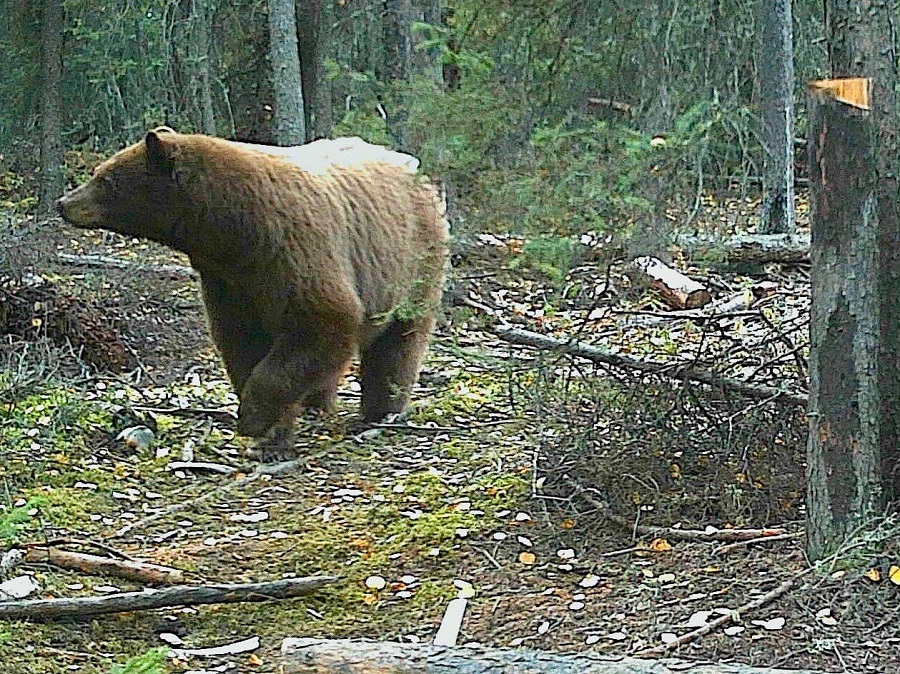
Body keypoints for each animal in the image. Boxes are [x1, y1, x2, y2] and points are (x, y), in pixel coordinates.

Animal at [58, 129, 448, 460]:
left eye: (105, 179)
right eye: (99, 171)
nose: (63, 202)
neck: (234, 232)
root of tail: (416, 169)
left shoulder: (293, 250)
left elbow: (321, 322)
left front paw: (254, 419)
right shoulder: (230, 283)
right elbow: (242, 341)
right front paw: (271, 433)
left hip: (412, 262)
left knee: (400, 338)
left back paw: (382, 408)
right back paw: (319, 406)